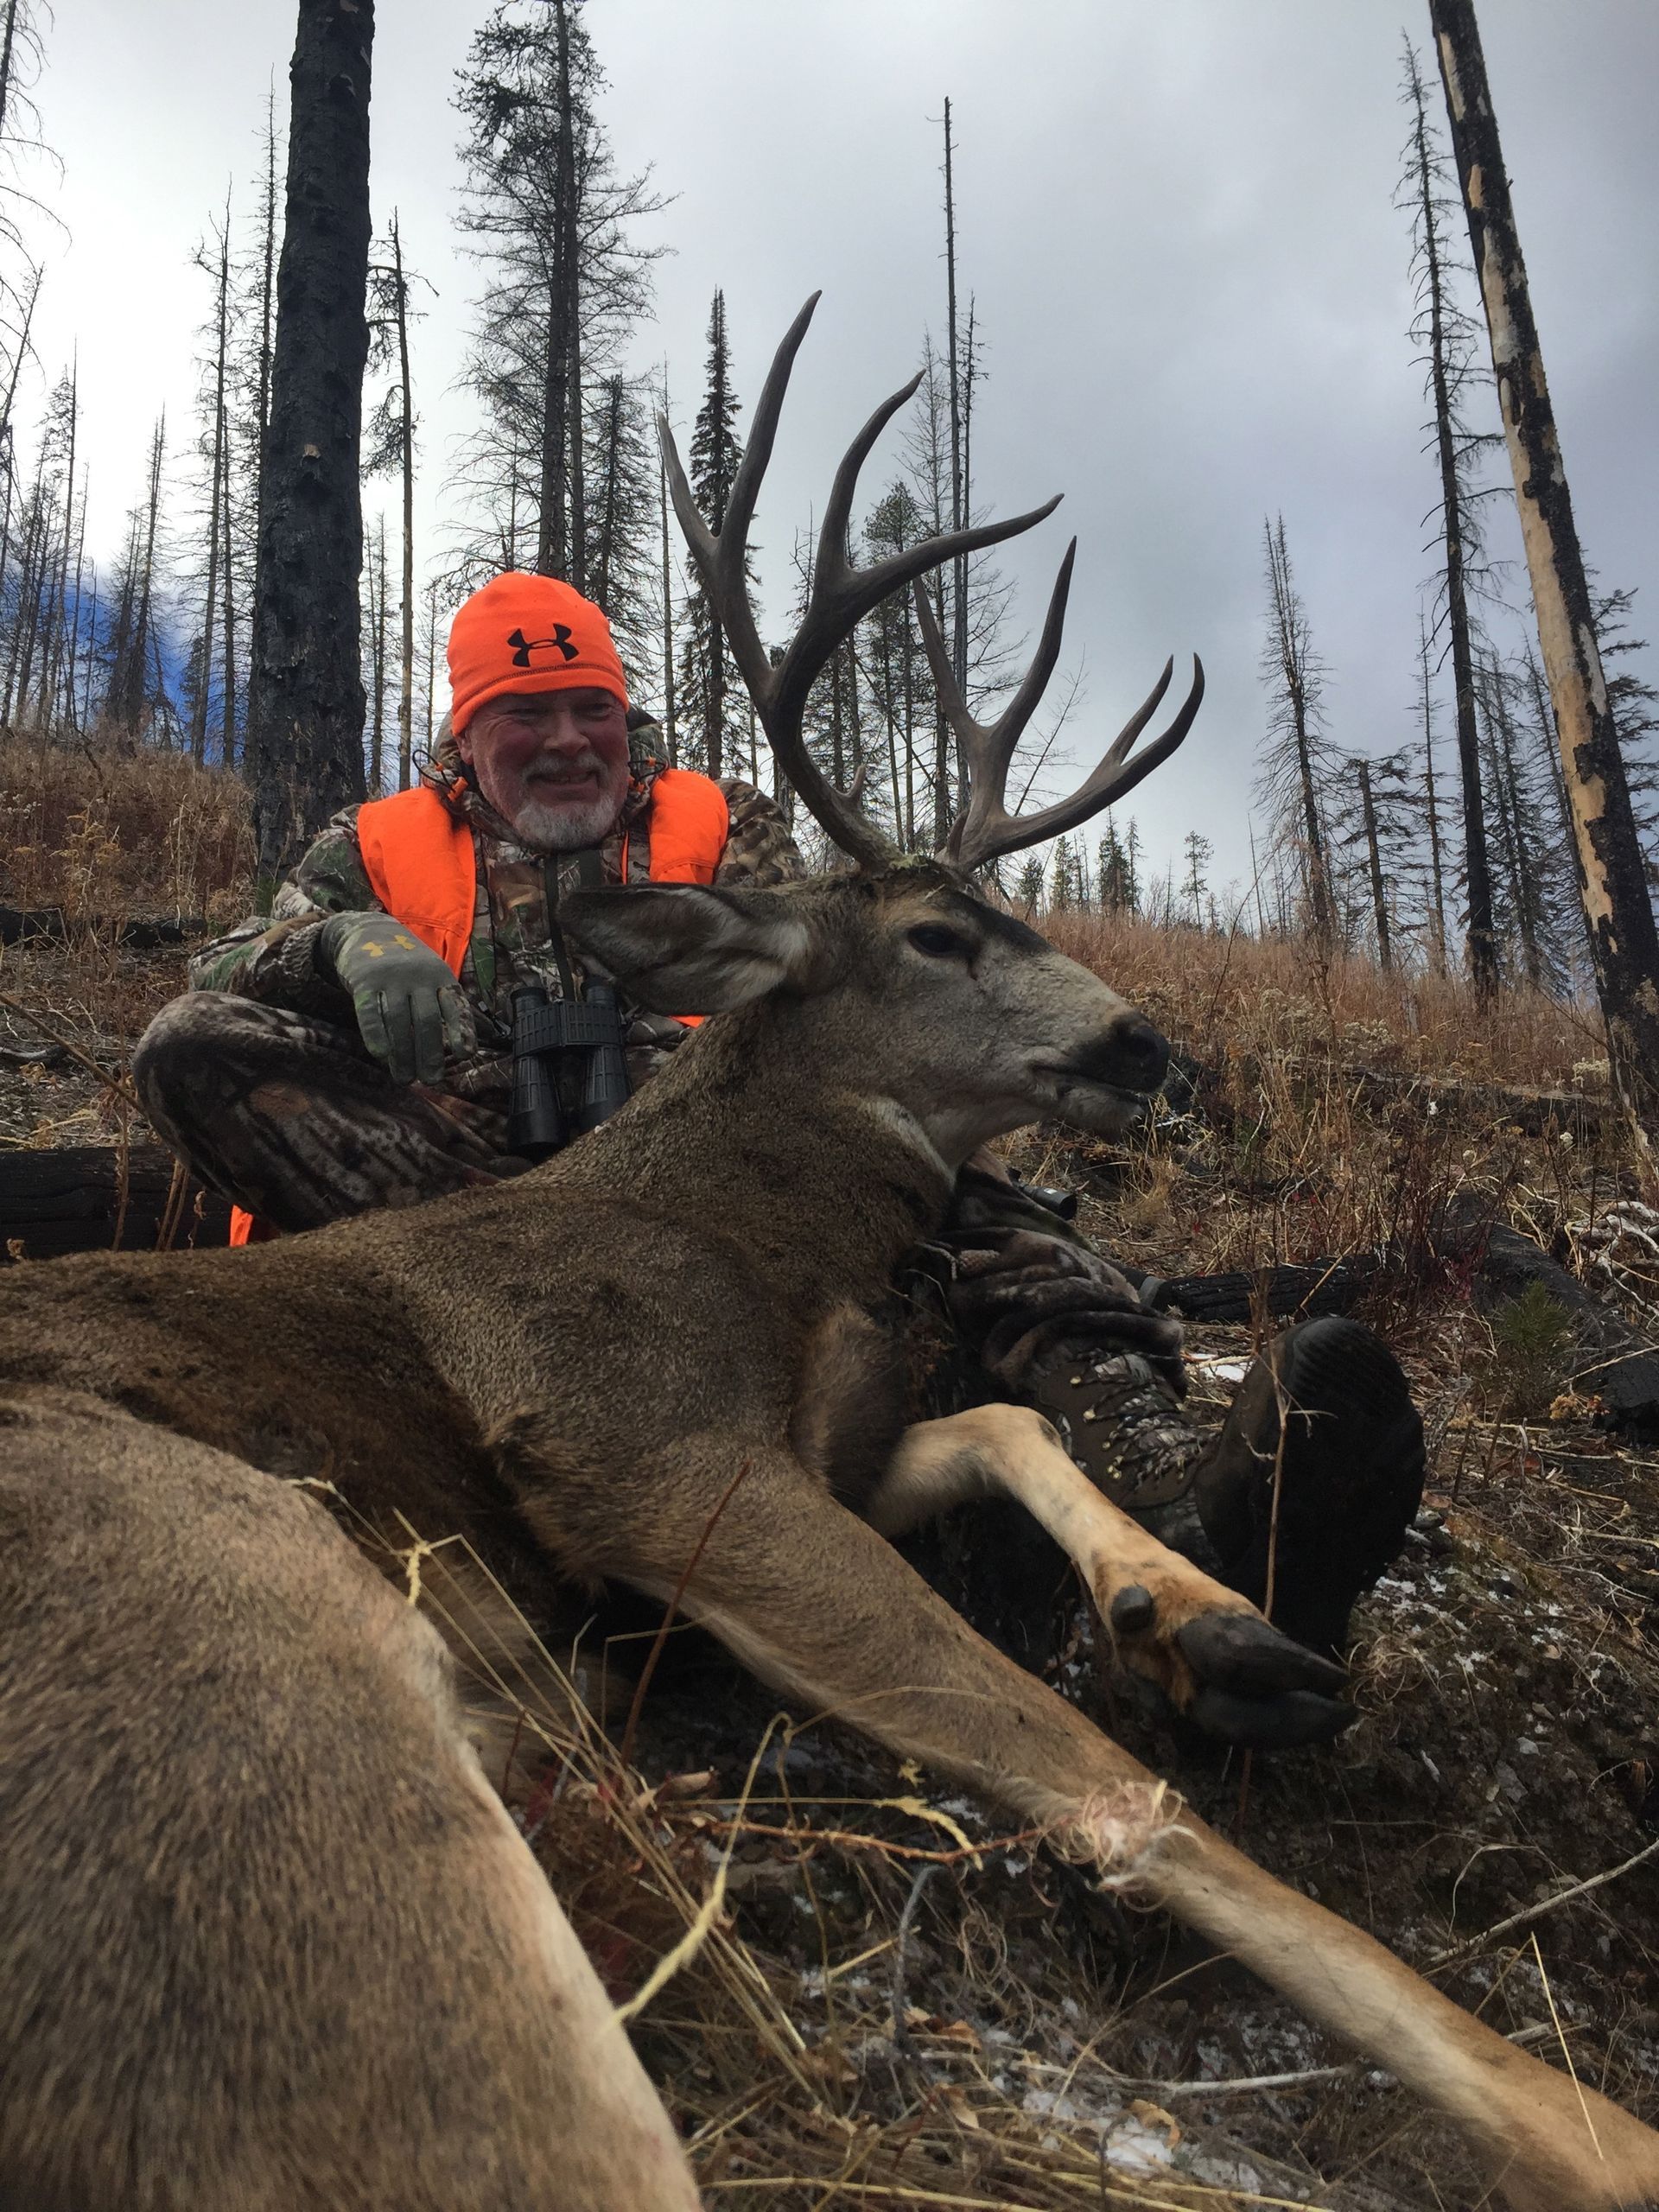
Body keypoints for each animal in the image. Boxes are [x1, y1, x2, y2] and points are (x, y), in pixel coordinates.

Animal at [1, 295, 1656, 2212]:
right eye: (940, 933)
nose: (1147, 1044)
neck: (757, 1244)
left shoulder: (810, 1452)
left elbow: (1005, 1420)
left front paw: (1206, 1617)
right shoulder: (644, 1451)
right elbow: (1095, 1774)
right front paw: (1584, 2127)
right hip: (255, 1693)